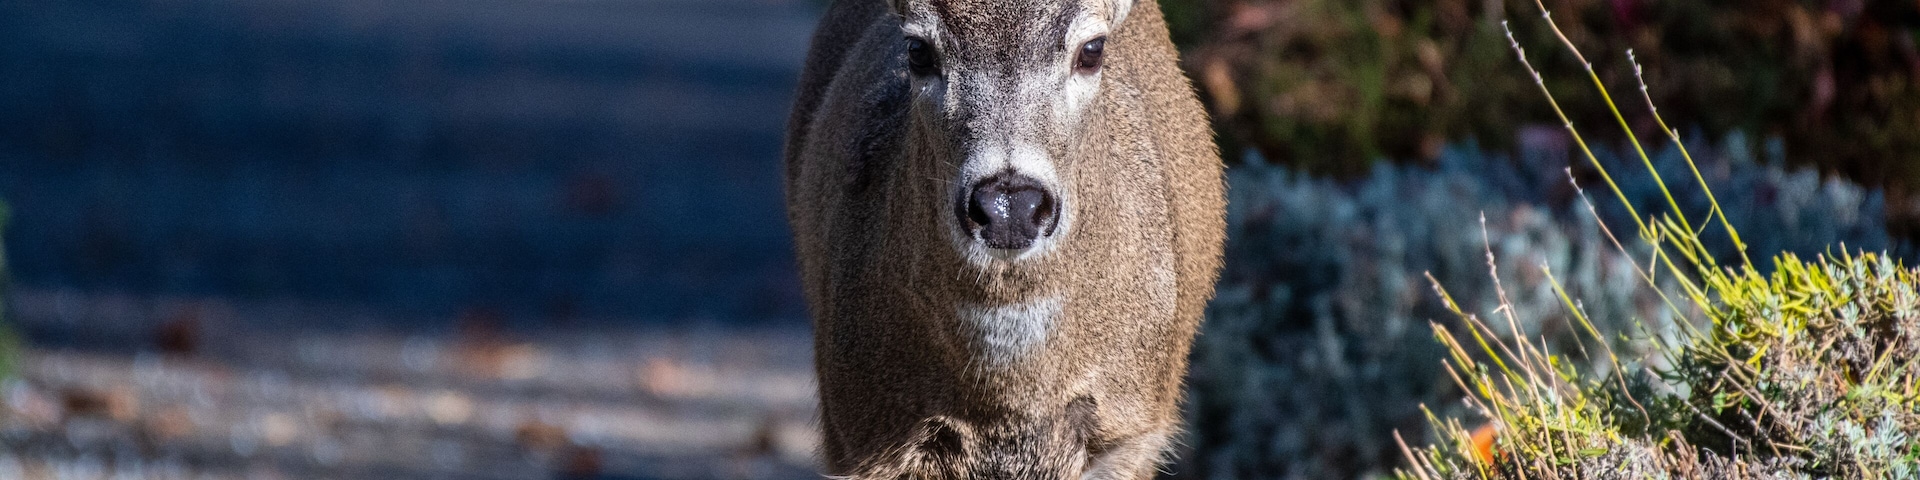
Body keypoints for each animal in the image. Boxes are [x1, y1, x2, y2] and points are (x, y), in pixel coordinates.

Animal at [783, 0, 1225, 476]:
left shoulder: (1131, 434)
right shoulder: (859, 438)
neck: (1008, 403)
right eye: (918, 50)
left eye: (1092, 50)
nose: (1009, 205)